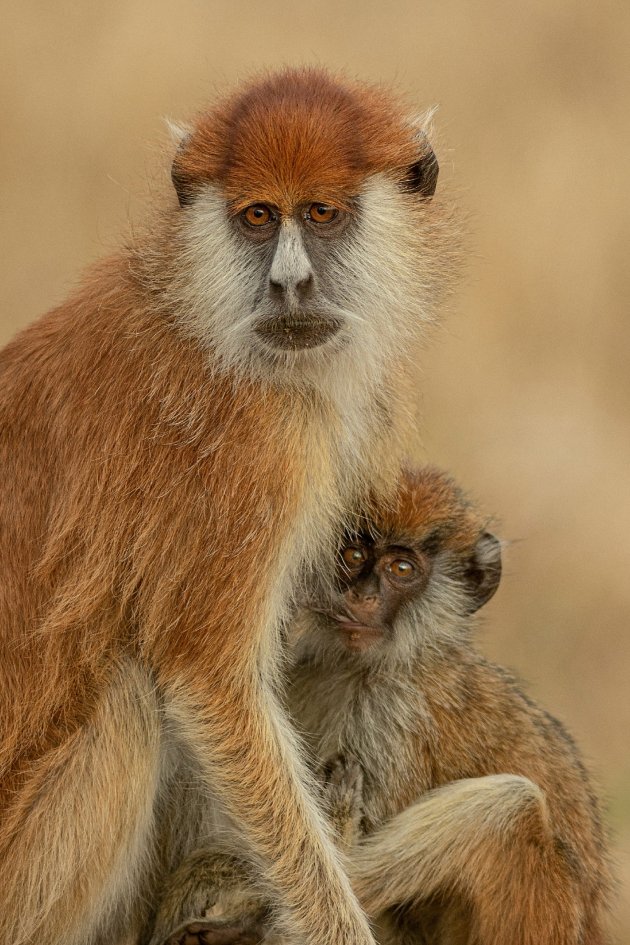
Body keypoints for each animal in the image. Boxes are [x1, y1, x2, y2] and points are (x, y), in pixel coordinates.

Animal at [0, 68, 456, 944]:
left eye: (320, 213)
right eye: (257, 217)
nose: (289, 284)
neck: (205, 312)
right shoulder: (255, 449)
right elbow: (212, 686)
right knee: (131, 703)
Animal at [151, 466, 608, 944]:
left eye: (401, 568)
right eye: (353, 555)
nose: (360, 596)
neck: (364, 666)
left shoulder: (396, 714)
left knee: (514, 808)